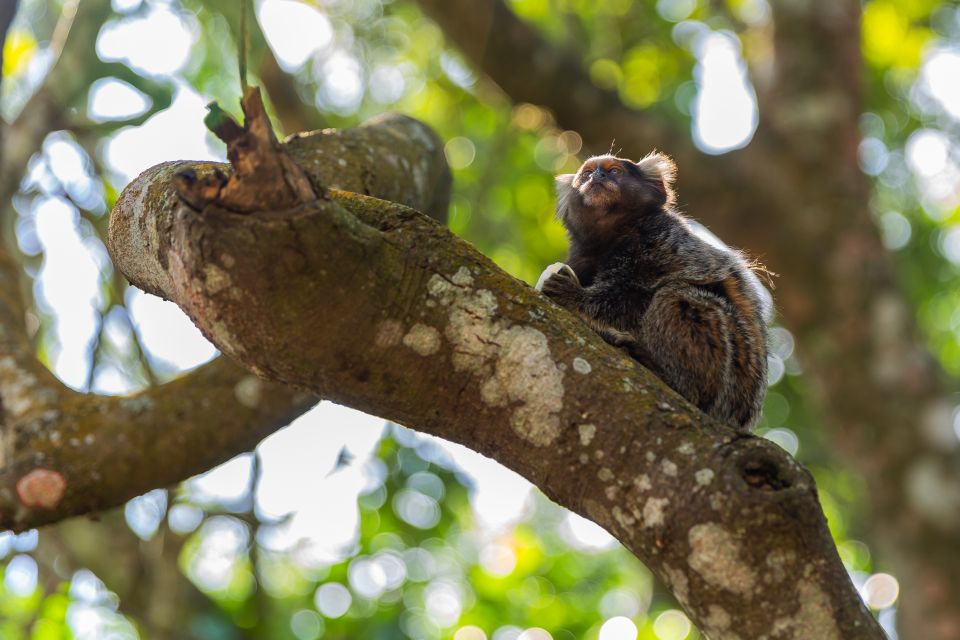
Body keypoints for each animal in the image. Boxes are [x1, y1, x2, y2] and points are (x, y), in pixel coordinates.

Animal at [536, 153, 768, 430]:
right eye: (587, 173)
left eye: (614, 171)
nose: (597, 177)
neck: (614, 234)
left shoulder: (658, 239)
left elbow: (630, 298)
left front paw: (571, 294)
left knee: (677, 298)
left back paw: (675, 381)